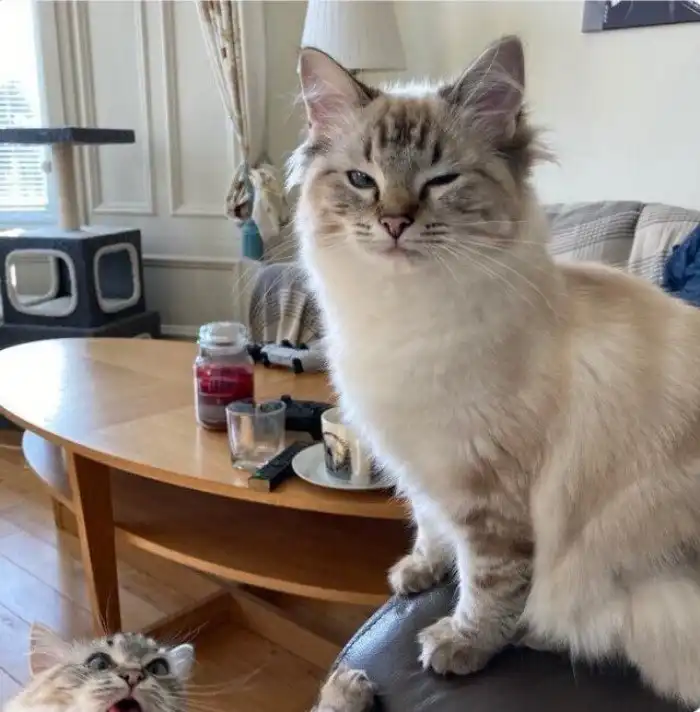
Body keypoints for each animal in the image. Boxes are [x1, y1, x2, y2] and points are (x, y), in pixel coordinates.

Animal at [291, 34, 700, 706]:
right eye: (361, 180)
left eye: (440, 181)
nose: (394, 222)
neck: (403, 314)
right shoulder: (420, 464)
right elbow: (429, 528)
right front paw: (418, 572)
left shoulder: (487, 493)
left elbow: (488, 583)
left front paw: (461, 645)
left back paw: (534, 633)